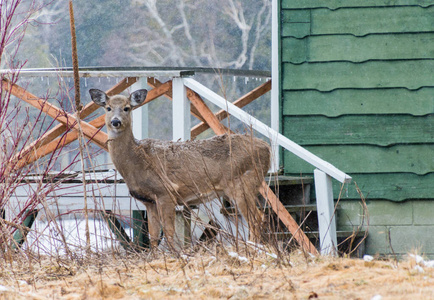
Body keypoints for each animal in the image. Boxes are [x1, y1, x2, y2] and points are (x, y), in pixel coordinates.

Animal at [89, 88, 270, 248]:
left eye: (127, 108)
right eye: (108, 108)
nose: (115, 121)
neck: (138, 161)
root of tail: (267, 148)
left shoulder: (166, 192)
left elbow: (169, 234)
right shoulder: (149, 201)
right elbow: (153, 237)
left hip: (243, 182)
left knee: (257, 218)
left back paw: (254, 248)